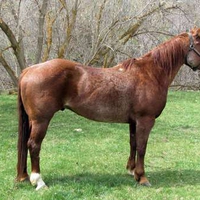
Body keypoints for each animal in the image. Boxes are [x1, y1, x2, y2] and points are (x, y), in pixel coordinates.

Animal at [16, 27, 200, 190]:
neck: (151, 73)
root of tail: (29, 70)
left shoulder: (134, 122)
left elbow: (133, 143)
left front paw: (132, 171)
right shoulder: (145, 120)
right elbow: (142, 147)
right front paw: (142, 177)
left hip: (33, 121)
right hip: (41, 120)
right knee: (34, 145)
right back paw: (39, 182)